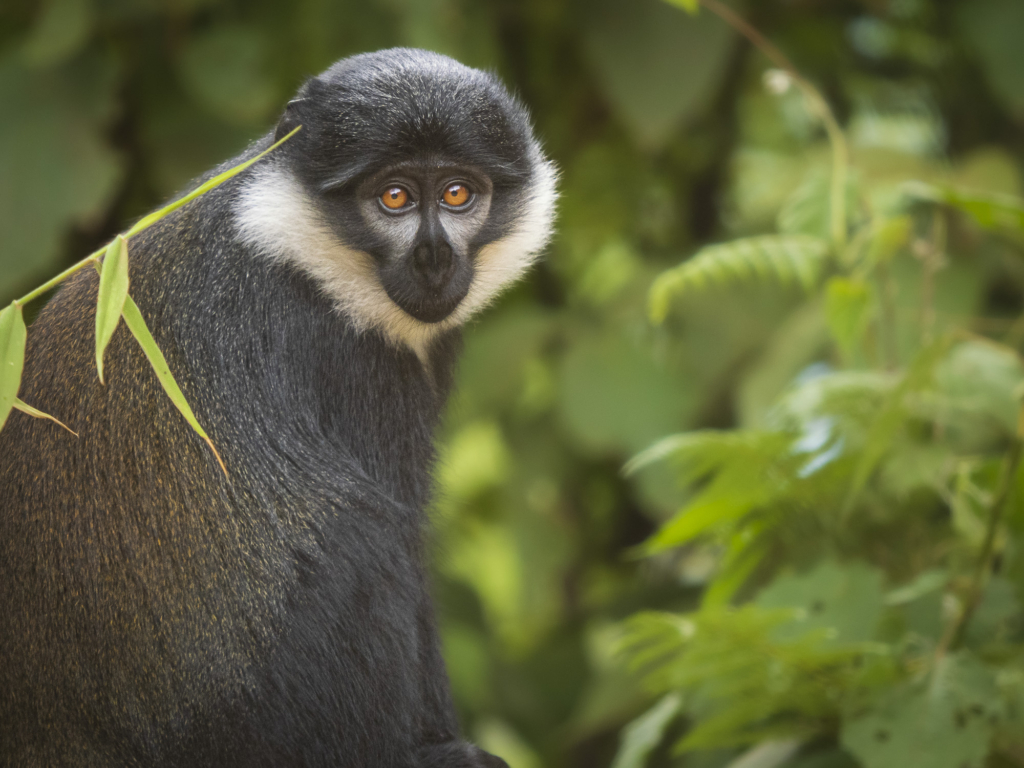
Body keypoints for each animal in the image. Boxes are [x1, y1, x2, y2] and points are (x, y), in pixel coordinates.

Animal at [0, 49, 557, 768]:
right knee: (365, 539)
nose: (434, 256)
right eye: (395, 197)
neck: (295, 238)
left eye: (458, 194)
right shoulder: (356, 365)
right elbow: (401, 545)